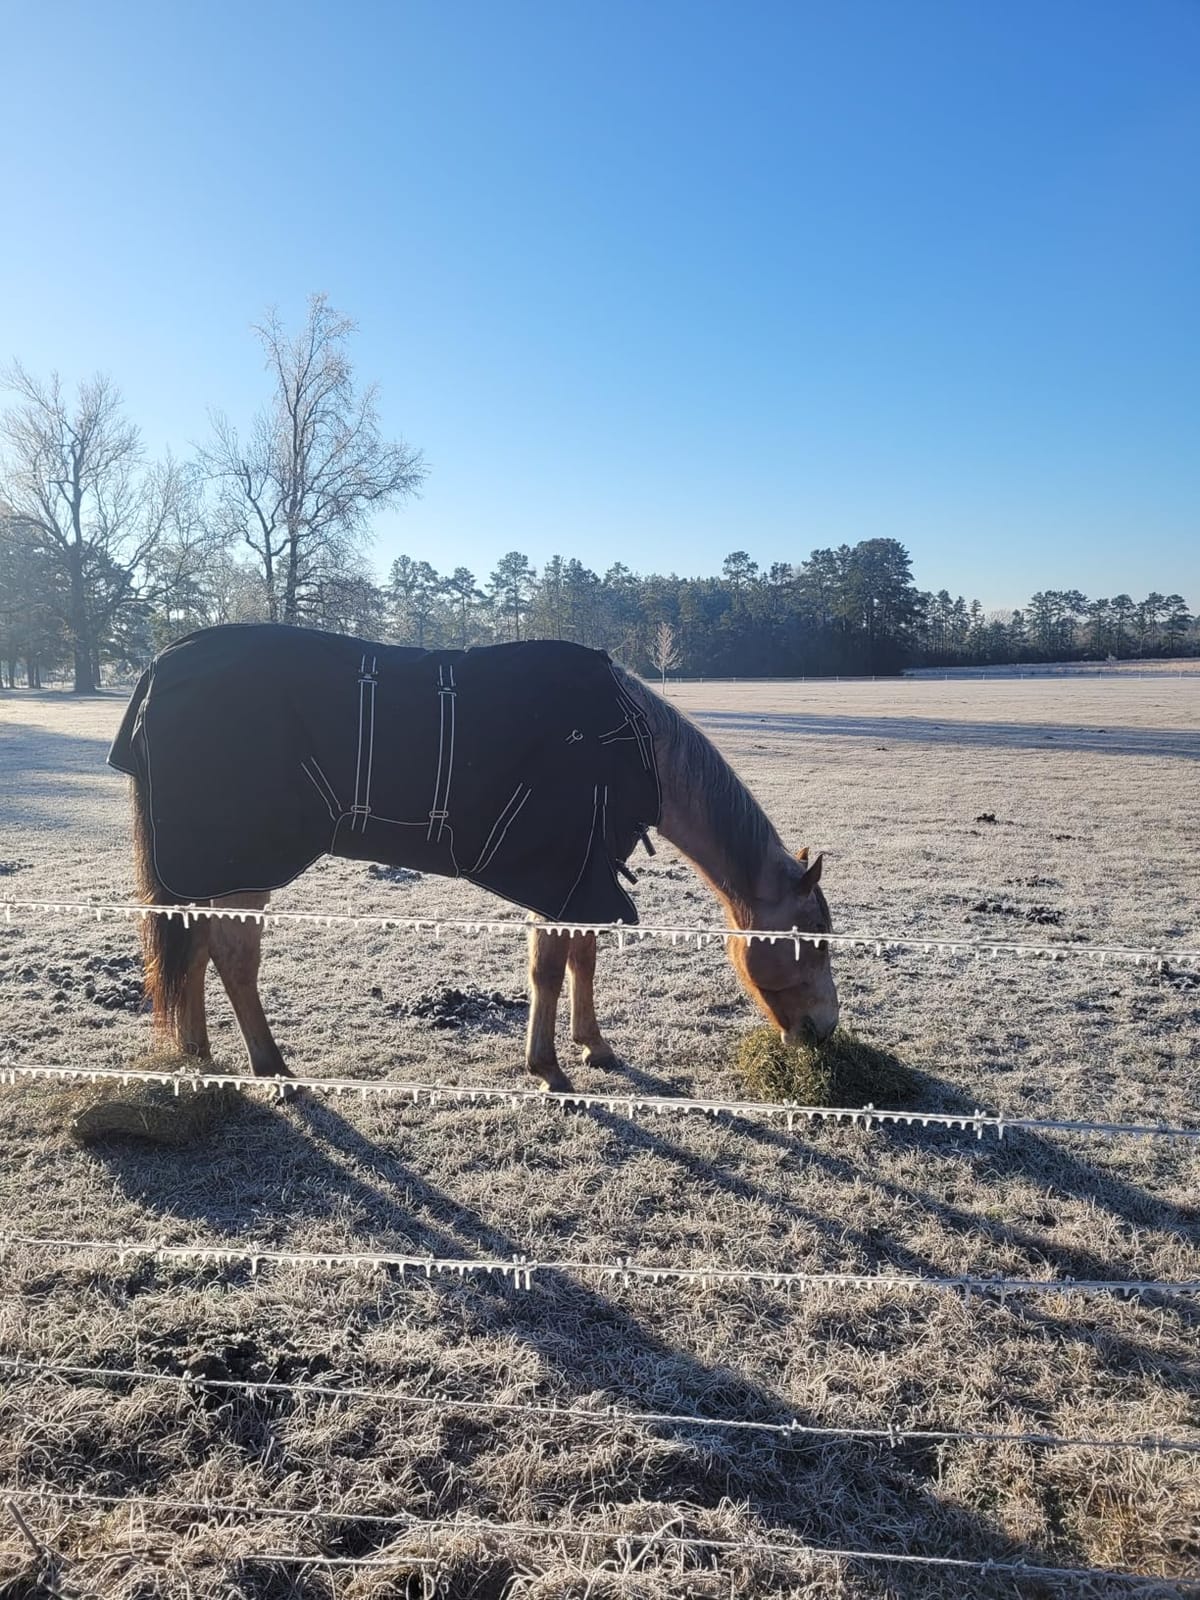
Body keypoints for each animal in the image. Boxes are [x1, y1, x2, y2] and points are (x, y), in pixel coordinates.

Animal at [111, 625, 838, 1092]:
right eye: (812, 937)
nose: (824, 1030)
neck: (632, 746)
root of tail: (157, 668)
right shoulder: (558, 877)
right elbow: (549, 970)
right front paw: (548, 1069)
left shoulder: (582, 875)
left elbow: (582, 960)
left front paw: (593, 1046)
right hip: (244, 868)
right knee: (231, 959)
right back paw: (271, 1068)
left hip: (213, 869)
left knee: (191, 949)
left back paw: (200, 1058)